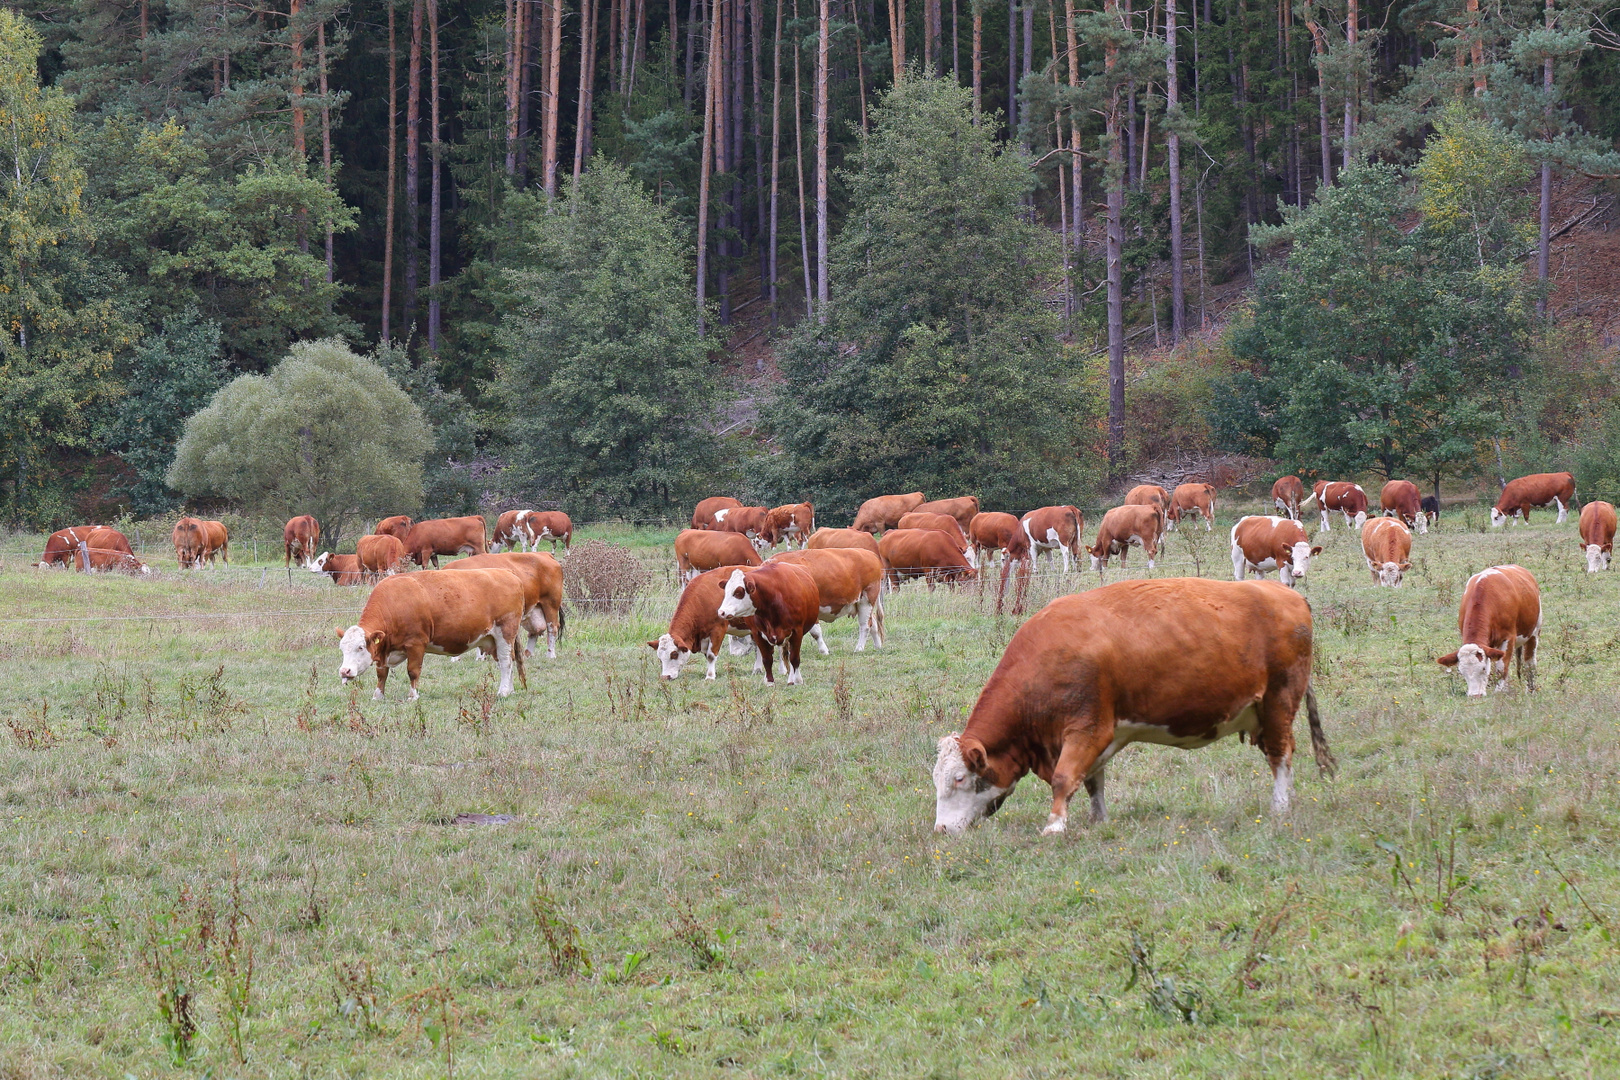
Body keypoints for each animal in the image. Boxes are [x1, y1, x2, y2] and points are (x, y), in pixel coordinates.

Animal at [336, 566, 531, 702]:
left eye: (360, 647)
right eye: (342, 649)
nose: (344, 671)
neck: (394, 603)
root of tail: (507, 572)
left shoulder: (416, 644)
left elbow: (413, 671)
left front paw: (413, 696)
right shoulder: (384, 649)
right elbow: (381, 673)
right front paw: (378, 696)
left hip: (505, 632)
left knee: (506, 662)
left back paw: (503, 691)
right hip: (492, 640)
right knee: (508, 661)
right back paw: (509, 689)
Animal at [933, 579, 1334, 841]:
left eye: (959, 778)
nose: (941, 829)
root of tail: (1286, 592)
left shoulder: (1088, 729)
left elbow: (1065, 778)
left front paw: (1054, 825)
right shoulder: (1098, 738)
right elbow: (1092, 780)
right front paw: (1097, 820)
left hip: (1279, 700)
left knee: (1280, 754)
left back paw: (1279, 807)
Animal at [1438, 566, 1535, 702]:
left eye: (1483, 668)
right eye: (1461, 672)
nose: (1475, 695)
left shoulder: (1508, 638)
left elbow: (1501, 668)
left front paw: (1499, 692)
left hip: (1534, 633)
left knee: (1530, 663)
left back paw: (1531, 690)